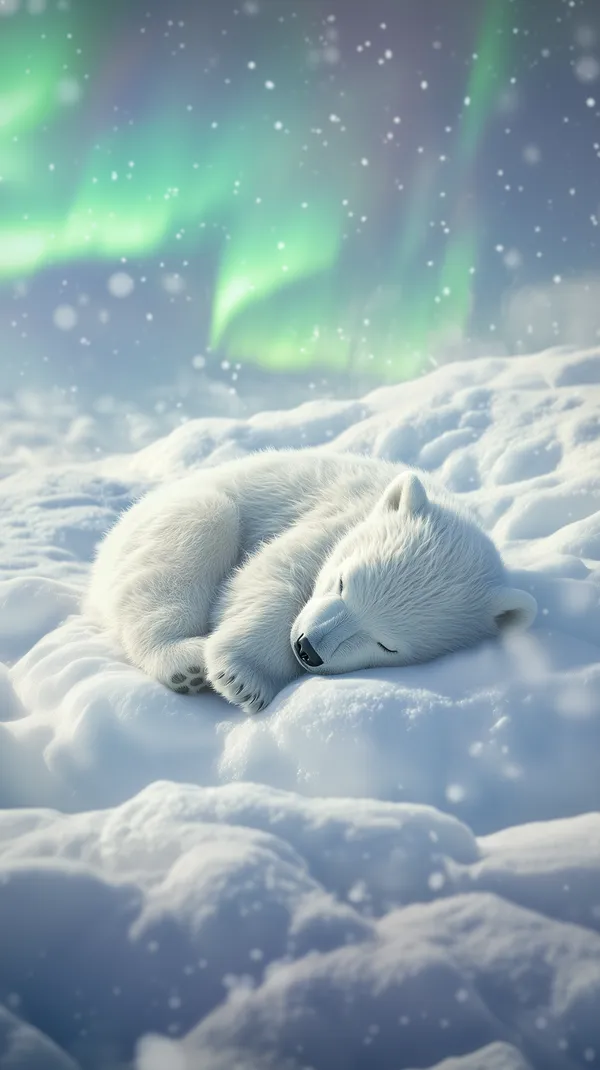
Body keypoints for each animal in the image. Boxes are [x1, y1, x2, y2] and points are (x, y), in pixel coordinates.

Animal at [86, 448, 537, 715]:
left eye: (388, 645)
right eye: (343, 582)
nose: (307, 649)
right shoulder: (338, 515)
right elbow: (276, 571)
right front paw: (243, 679)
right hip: (171, 519)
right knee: (190, 540)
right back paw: (186, 663)